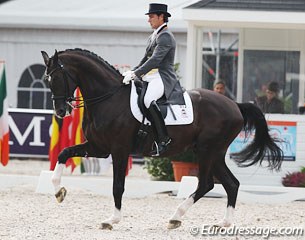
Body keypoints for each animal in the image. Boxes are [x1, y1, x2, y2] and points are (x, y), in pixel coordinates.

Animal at [41, 47, 282, 230]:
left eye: (57, 78)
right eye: (47, 79)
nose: (60, 111)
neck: (108, 98)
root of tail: (235, 105)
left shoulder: (119, 150)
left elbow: (118, 186)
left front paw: (112, 220)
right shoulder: (98, 147)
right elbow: (63, 154)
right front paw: (59, 192)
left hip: (207, 150)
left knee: (206, 184)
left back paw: (176, 217)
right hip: (214, 153)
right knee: (231, 184)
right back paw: (223, 223)